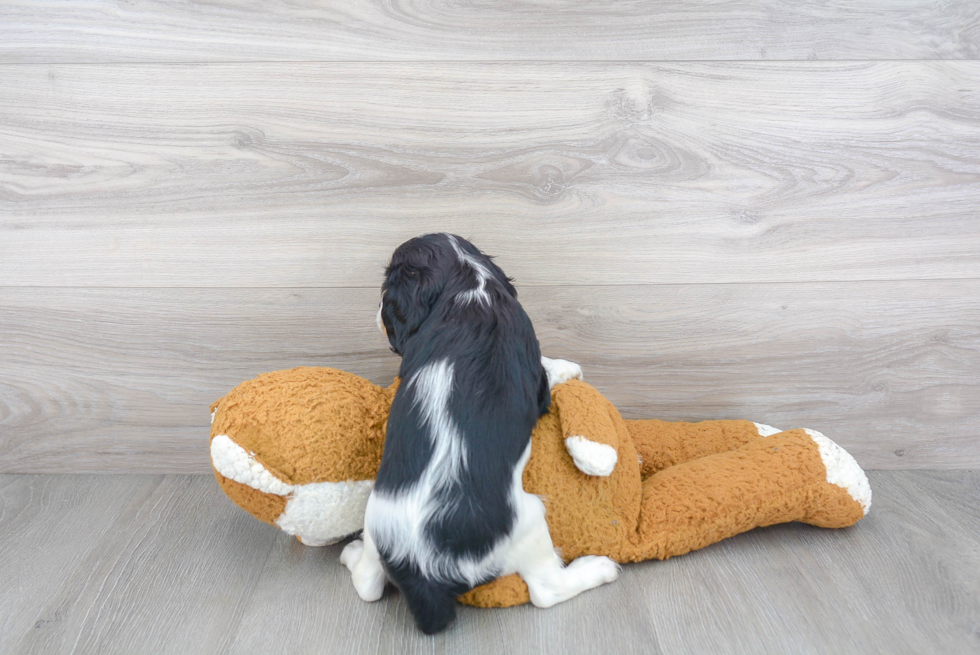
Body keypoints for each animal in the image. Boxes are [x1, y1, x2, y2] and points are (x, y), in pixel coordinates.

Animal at [340, 234, 616, 636]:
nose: (376, 313)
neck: (467, 281)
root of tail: (421, 568)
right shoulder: (532, 370)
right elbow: (546, 374)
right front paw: (568, 367)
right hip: (530, 520)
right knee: (546, 590)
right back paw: (599, 567)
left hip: (377, 523)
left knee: (368, 585)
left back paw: (351, 553)